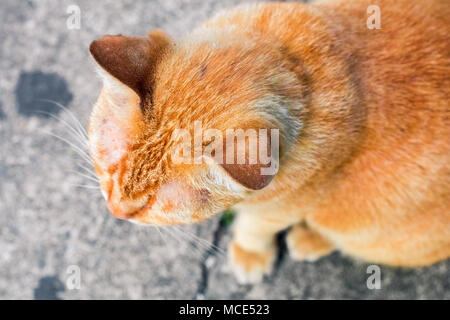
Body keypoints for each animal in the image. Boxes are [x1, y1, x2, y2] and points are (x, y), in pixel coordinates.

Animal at [89, 0, 450, 284]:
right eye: (108, 168)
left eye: (153, 205)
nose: (115, 211)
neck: (300, 60)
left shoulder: (281, 208)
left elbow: (254, 228)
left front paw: (250, 254)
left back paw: (311, 239)